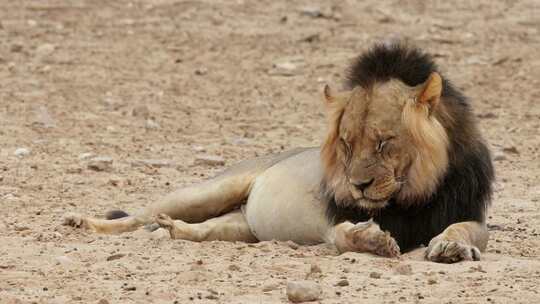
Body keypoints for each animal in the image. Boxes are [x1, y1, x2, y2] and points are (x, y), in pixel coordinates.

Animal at [63, 44, 494, 262]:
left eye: (384, 142)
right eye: (346, 144)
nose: (359, 185)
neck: (411, 193)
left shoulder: (466, 212)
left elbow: (466, 230)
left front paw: (451, 246)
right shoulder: (332, 222)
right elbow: (343, 235)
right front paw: (372, 241)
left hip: (241, 227)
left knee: (202, 230)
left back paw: (175, 230)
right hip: (206, 191)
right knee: (137, 217)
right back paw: (84, 223)